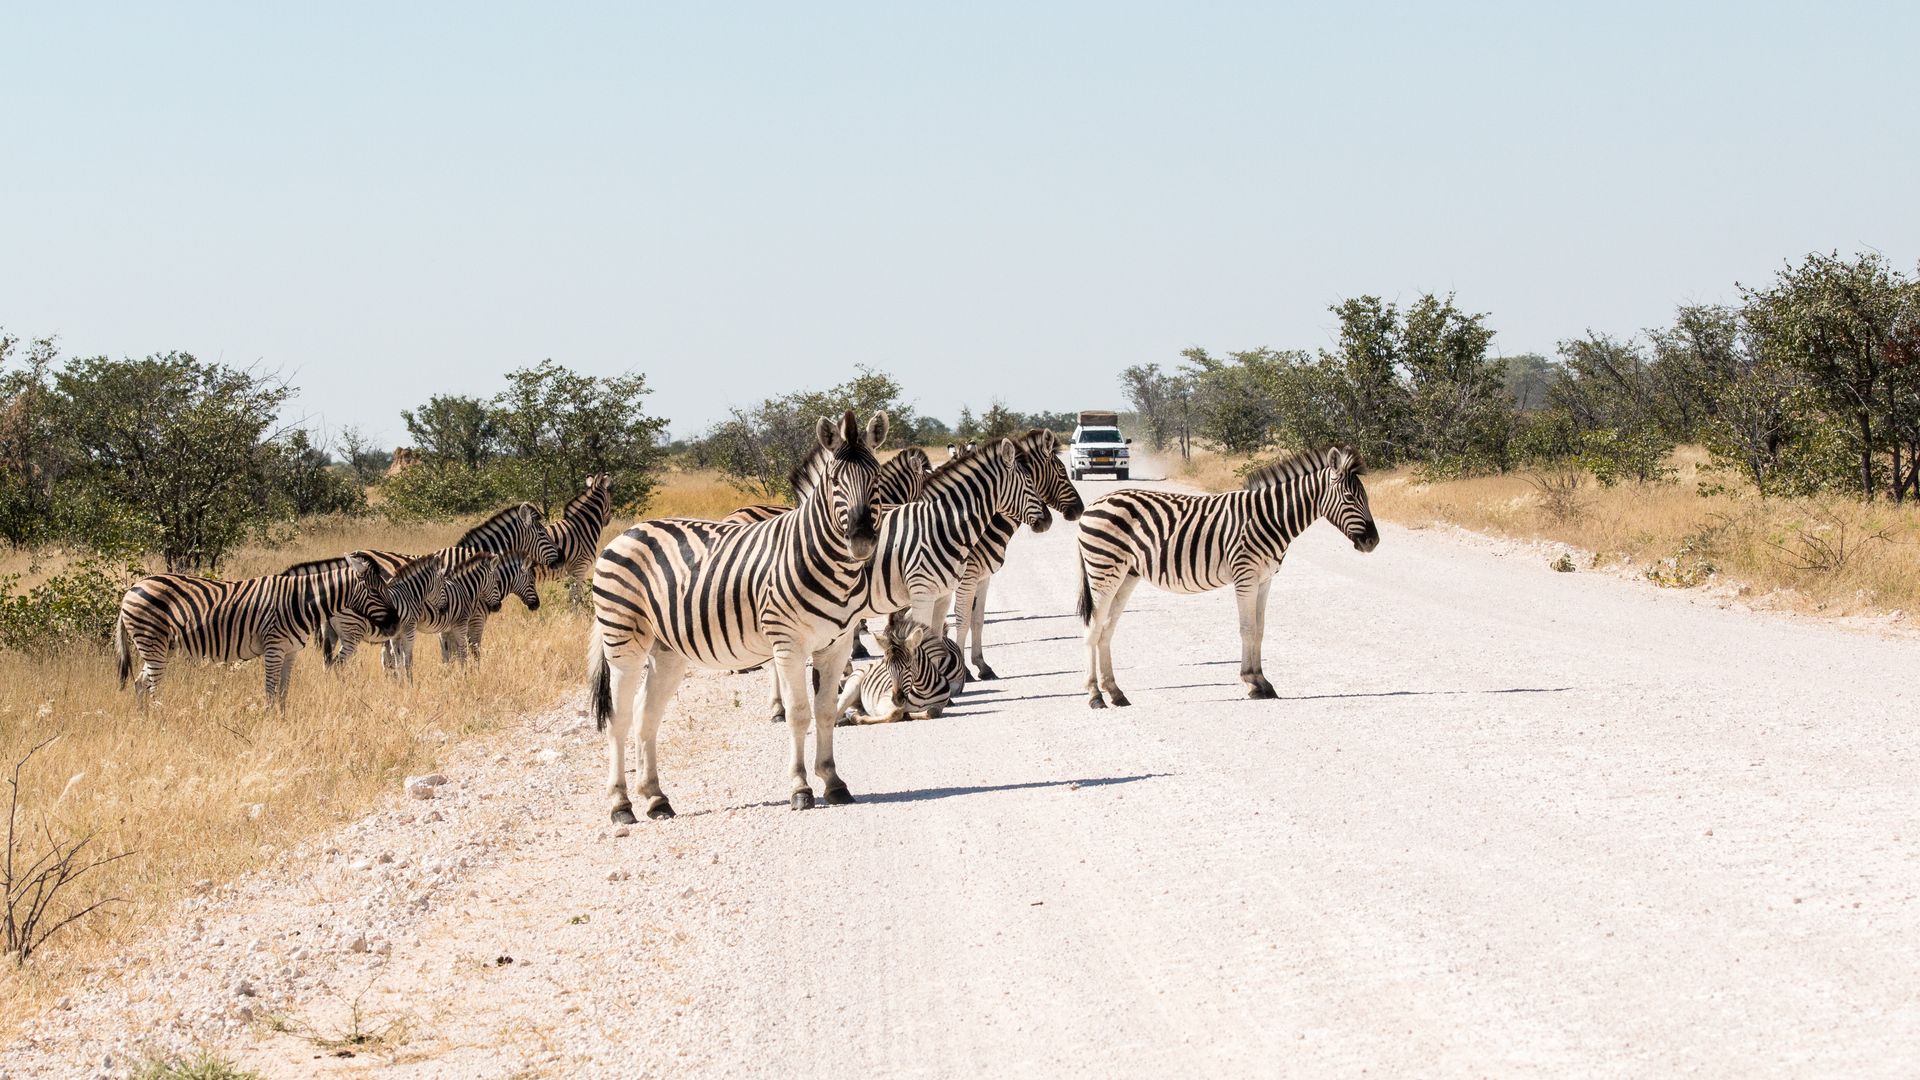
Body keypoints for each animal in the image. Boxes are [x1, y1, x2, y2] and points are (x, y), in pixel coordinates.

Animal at [115, 552, 398, 709]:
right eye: (376, 590)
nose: (396, 623)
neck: (297, 601)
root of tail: (132, 589)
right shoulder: (273, 649)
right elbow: (270, 691)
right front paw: (269, 721)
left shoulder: (290, 652)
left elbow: (283, 692)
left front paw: (283, 721)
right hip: (153, 642)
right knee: (151, 687)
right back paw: (160, 721)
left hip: (158, 647)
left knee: (140, 683)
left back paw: (146, 722)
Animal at [542, 473, 614, 609]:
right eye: (609, 498)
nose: (608, 521)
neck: (582, 527)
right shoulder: (580, 567)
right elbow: (576, 596)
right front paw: (574, 613)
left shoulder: (571, 571)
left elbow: (572, 595)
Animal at [588, 410, 890, 821]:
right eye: (833, 482)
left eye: (876, 477)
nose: (860, 541)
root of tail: (627, 533)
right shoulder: (788, 644)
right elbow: (799, 713)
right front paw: (800, 789)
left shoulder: (837, 645)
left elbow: (826, 710)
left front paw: (834, 782)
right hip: (623, 642)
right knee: (617, 718)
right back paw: (621, 805)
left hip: (667, 652)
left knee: (644, 715)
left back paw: (655, 799)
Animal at [940, 428, 1084, 679]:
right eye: (1062, 472)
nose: (1080, 509)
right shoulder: (966, 578)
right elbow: (962, 618)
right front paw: (963, 671)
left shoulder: (982, 577)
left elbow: (977, 619)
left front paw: (982, 665)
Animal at [1074, 446, 1379, 708]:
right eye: (1351, 498)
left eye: (1365, 497)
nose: (1373, 541)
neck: (1271, 518)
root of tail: (1094, 504)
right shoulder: (1245, 575)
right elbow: (1247, 629)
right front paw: (1252, 683)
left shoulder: (1265, 579)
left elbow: (1260, 629)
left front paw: (1263, 681)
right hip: (1104, 570)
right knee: (1092, 627)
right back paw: (1095, 695)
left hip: (1127, 574)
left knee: (1106, 629)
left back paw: (1115, 692)